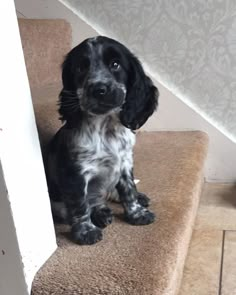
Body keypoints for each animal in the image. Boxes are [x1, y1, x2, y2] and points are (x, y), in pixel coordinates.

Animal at [44, 35, 159, 246]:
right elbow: (80, 204)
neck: (106, 127)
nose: (99, 89)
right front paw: (86, 232)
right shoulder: (75, 173)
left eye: (115, 64)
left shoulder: (125, 162)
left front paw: (137, 214)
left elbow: (128, 190)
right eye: (80, 68)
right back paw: (100, 214)